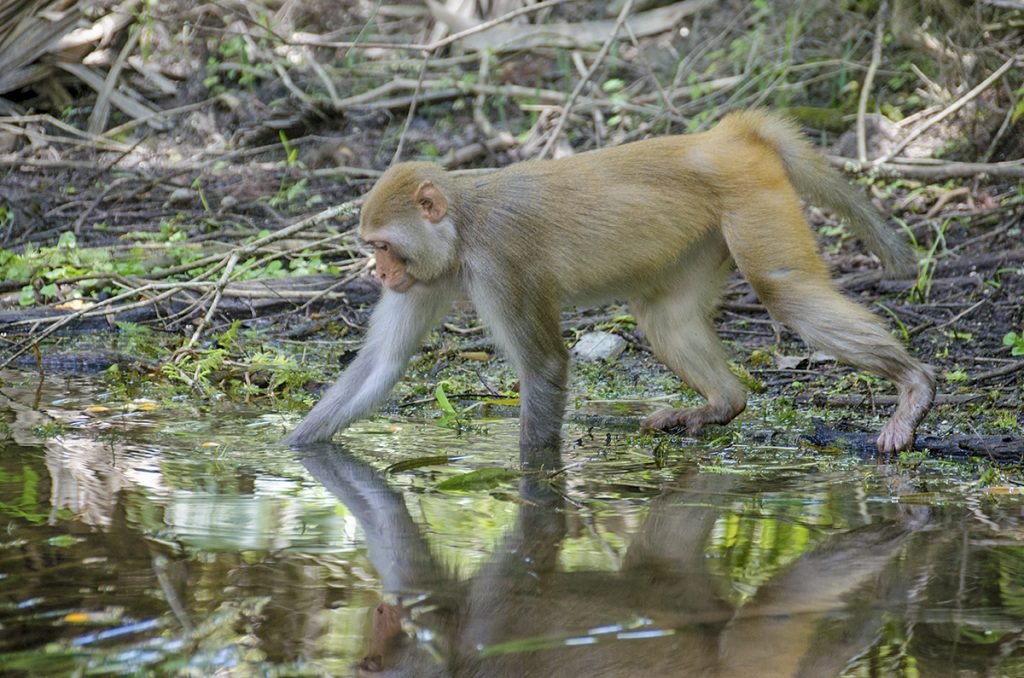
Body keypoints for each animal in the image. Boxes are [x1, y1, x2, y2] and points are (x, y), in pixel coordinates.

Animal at [286, 111, 937, 458]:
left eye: (380, 246)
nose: (379, 274)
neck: (462, 229)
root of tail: (724, 136)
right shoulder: (425, 279)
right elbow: (383, 363)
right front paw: (291, 450)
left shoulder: (501, 265)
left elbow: (545, 366)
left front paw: (533, 476)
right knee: (665, 318)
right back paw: (721, 405)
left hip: (753, 198)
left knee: (786, 293)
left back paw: (913, 387)